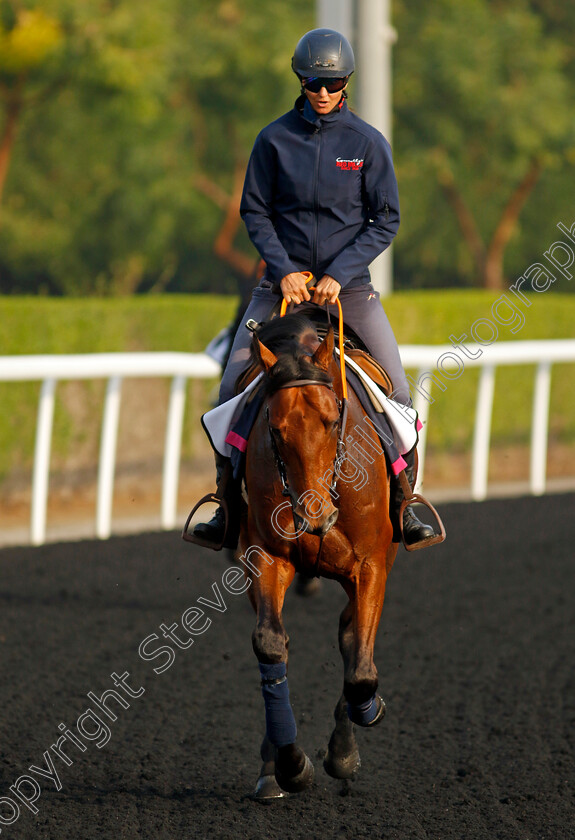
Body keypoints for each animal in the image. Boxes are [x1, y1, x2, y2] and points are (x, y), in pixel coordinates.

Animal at [243, 316, 400, 800]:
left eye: (332, 422)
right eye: (275, 430)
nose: (315, 517)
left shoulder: (371, 565)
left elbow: (361, 669)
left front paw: (355, 732)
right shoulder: (265, 555)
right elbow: (270, 643)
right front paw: (289, 765)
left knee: (351, 639)